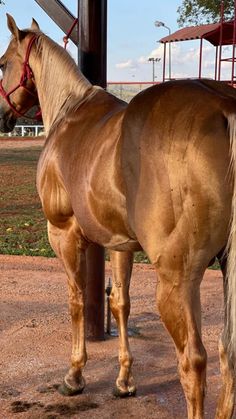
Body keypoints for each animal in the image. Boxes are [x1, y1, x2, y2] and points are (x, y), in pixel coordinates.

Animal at [0, 14, 236, 418]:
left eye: (2, 64)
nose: (1, 117)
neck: (69, 111)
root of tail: (224, 107)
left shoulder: (63, 233)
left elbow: (77, 300)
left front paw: (75, 375)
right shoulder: (119, 243)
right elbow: (120, 303)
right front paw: (125, 380)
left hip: (176, 280)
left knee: (193, 362)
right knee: (229, 354)